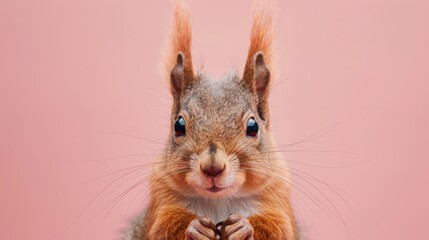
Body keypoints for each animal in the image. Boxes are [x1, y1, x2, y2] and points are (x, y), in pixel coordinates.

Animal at [123, 0, 298, 239]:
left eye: (253, 126)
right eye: (179, 125)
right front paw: (194, 227)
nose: (212, 167)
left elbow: (279, 229)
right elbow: (162, 228)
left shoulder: (277, 196)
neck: (218, 202)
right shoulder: (160, 201)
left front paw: (243, 227)